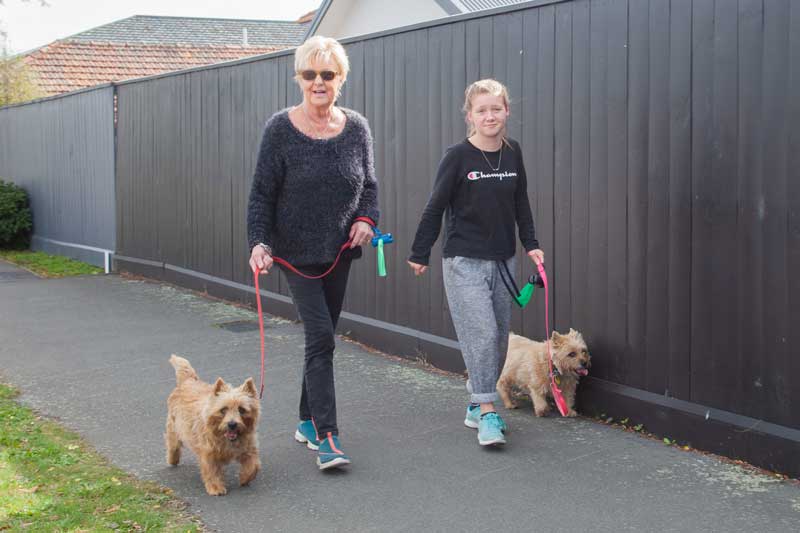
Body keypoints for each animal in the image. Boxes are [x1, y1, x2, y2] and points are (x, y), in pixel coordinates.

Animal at [164, 354, 260, 494]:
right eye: (223, 409)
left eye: (242, 410)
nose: (232, 424)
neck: (224, 436)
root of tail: (188, 381)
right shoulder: (208, 453)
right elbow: (212, 472)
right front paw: (216, 488)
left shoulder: (248, 448)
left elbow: (253, 465)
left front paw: (244, 478)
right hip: (174, 427)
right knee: (173, 444)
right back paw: (172, 459)